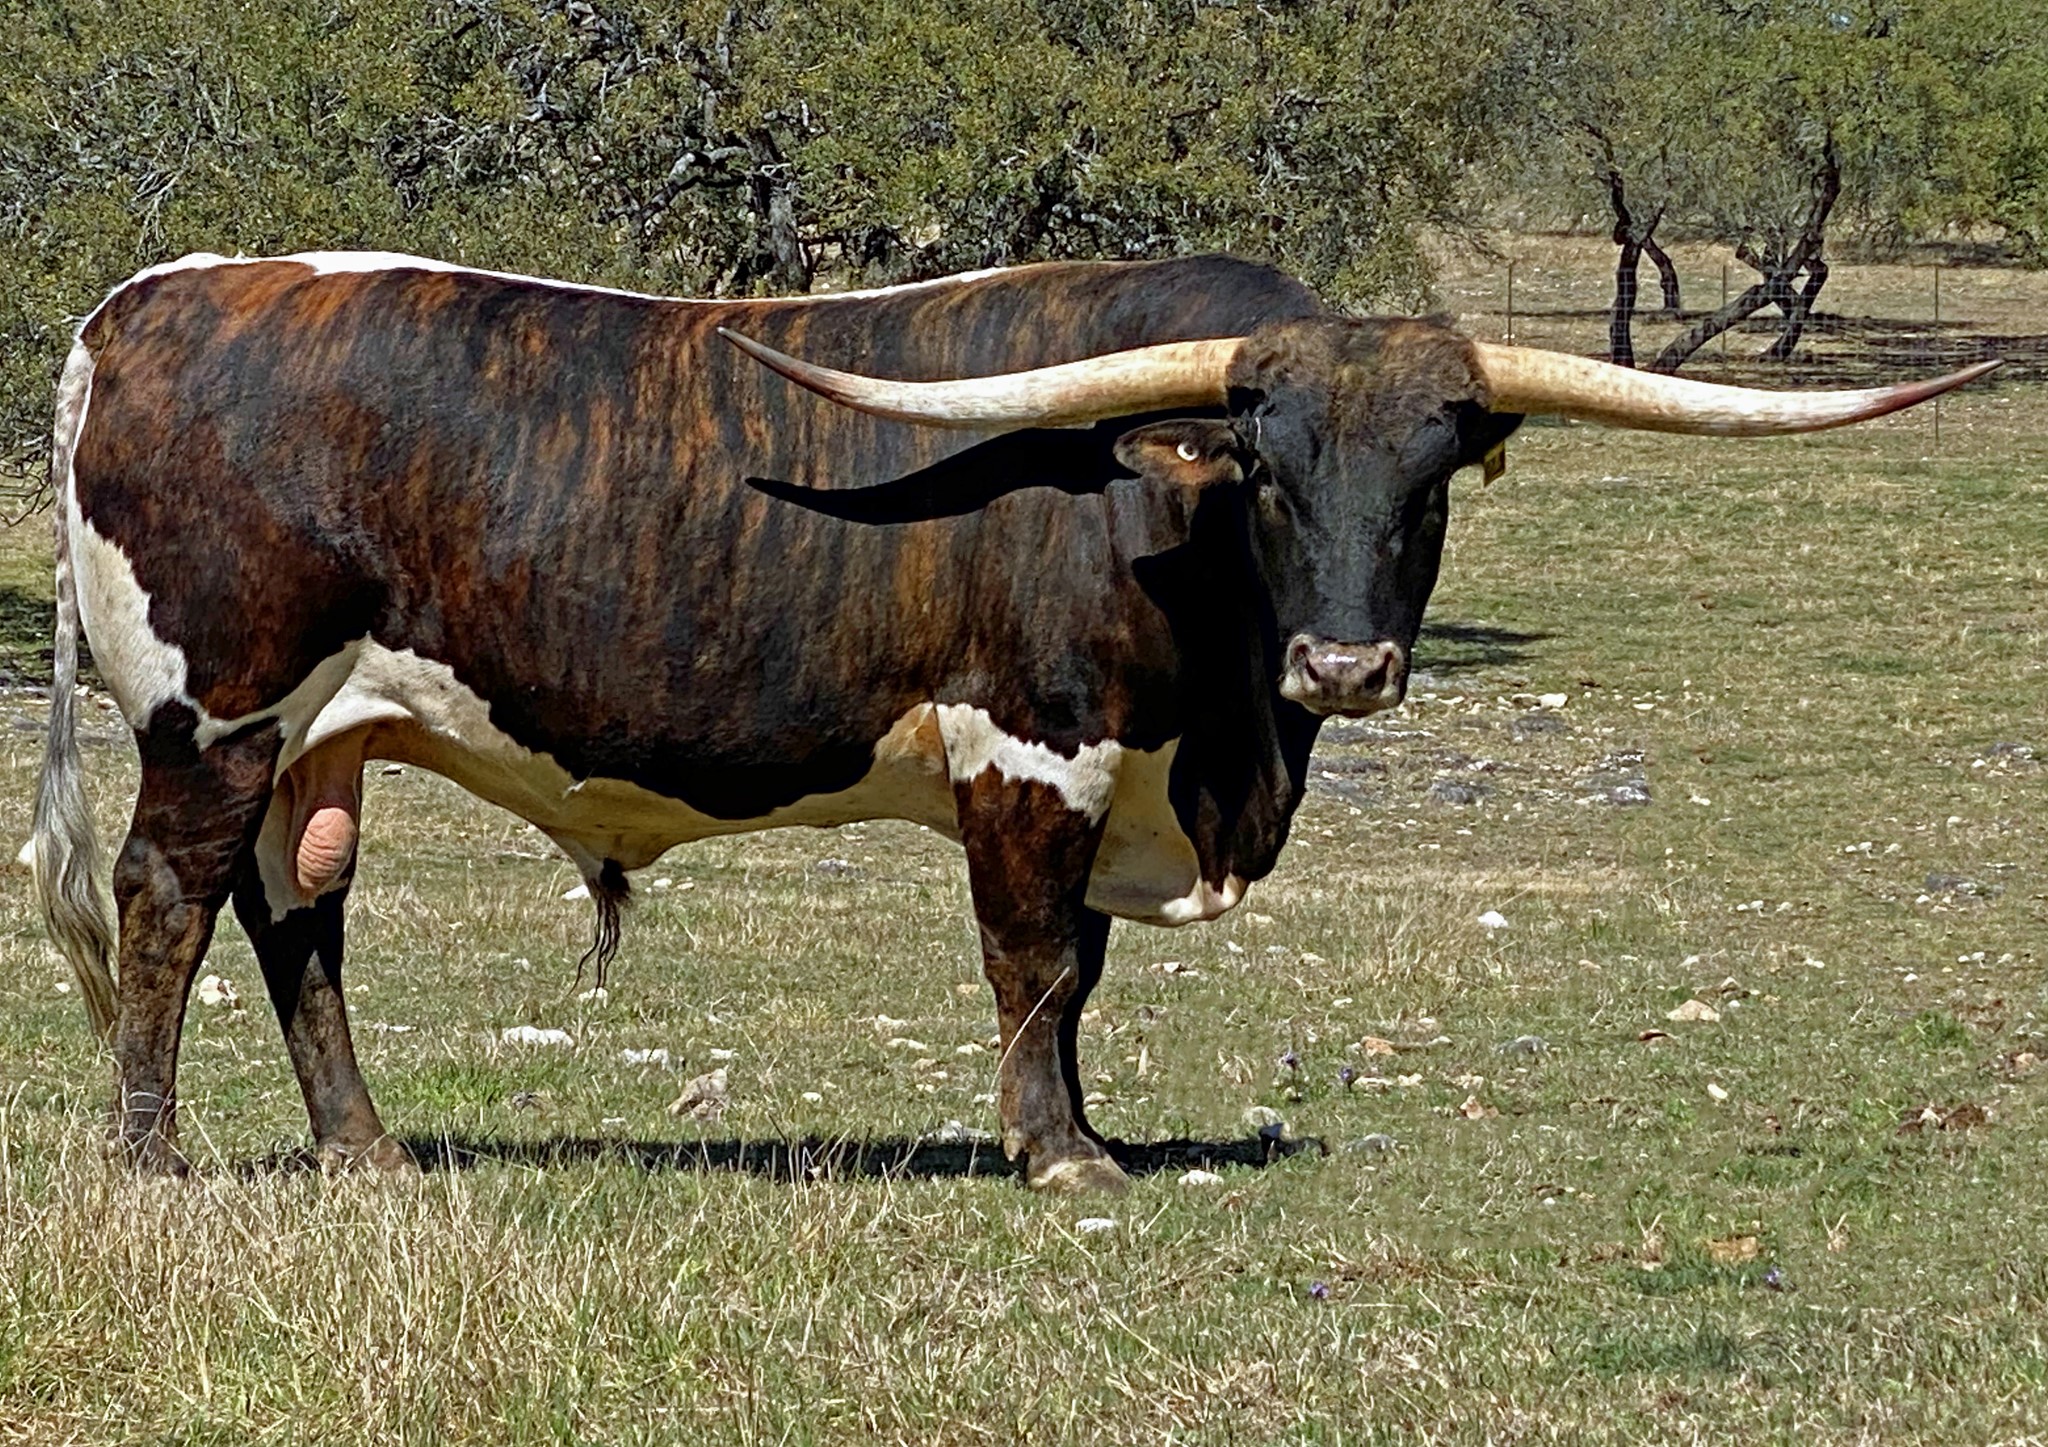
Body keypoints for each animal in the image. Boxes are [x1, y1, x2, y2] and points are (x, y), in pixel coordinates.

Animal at [30, 249, 1995, 1191]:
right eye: (1265, 467)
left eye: (1432, 472)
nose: (1345, 669)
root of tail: (149, 300)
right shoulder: (1032, 753)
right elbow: (1036, 961)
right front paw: (1058, 1152)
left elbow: (1081, 979)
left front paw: (1077, 1125)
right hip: (215, 712)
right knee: (165, 902)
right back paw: (155, 1151)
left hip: (317, 734)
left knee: (297, 914)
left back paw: (361, 1150)